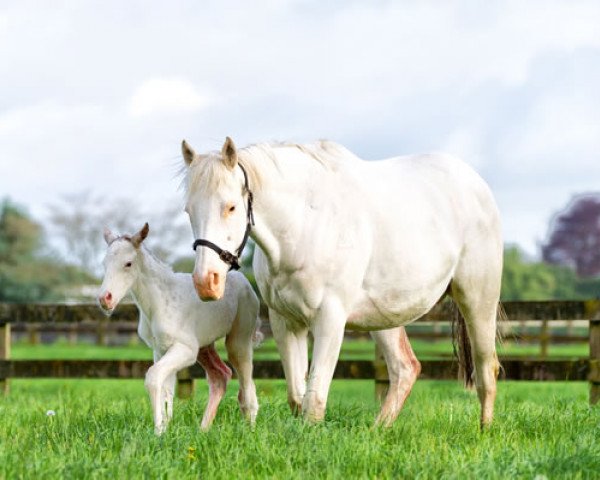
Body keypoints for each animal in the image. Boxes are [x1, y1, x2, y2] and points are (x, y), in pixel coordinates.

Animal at [96, 223, 260, 434]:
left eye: (128, 264)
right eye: (104, 264)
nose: (105, 299)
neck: (158, 303)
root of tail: (245, 281)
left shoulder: (185, 349)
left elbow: (153, 377)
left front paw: (158, 430)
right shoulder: (160, 350)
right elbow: (166, 389)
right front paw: (165, 429)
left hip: (238, 339)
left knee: (246, 385)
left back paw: (251, 430)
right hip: (204, 346)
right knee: (220, 375)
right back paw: (203, 431)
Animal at [182, 137, 502, 426]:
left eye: (231, 207)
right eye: (189, 211)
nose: (206, 282)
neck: (305, 223)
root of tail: (477, 185)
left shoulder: (330, 321)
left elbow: (314, 401)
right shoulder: (286, 322)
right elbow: (297, 397)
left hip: (478, 303)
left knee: (487, 370)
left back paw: (484, 432)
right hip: (384, 317)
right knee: (405, 368)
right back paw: (376, 432)